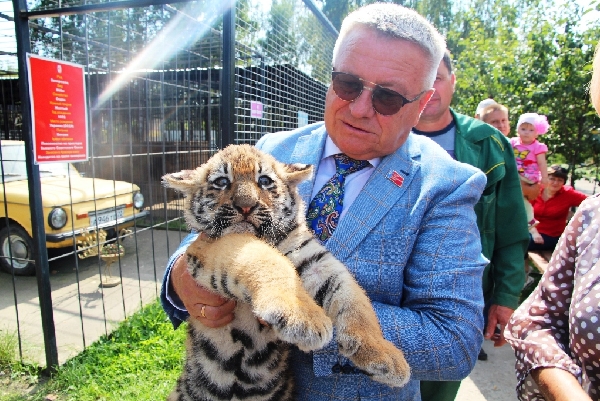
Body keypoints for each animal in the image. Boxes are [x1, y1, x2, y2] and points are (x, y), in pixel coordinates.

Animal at [162, 144, 410, 401]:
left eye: (264, 180)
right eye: (221, 181)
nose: (245, 206)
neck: (264, 236)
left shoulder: (315, 261)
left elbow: (356, 301)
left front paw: (385, 356)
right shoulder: (215, 244)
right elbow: (268, 261)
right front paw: (303, 319)